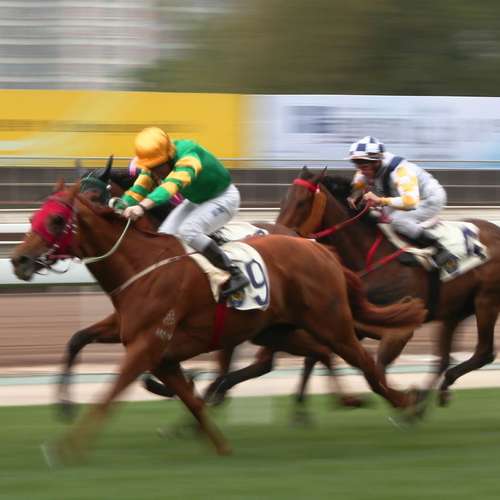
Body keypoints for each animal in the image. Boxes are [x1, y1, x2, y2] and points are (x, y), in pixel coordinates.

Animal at [11, 180, 426, 461]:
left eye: (58, 219)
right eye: (34, 217)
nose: (19, 260)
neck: (141, 265)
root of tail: (318, 247)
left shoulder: (148, 346)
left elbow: (109, 395)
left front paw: (66, 448)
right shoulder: (149, 346)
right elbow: (80, 340)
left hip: (330, 322)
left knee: (364, 362)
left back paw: (405, 401)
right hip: (279, 329)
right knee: (319, 353)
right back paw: (358, 397)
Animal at [277, 166, 500, 406]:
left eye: (302, 202)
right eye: (284, 200)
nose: (280, 235)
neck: (369, 255)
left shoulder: (397, 324)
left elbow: (377, 366)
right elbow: (321, 354)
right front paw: (302, 405)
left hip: (486, 300)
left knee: (483, 352)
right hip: (456, 310)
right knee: (444, 358)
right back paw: (427, 399)